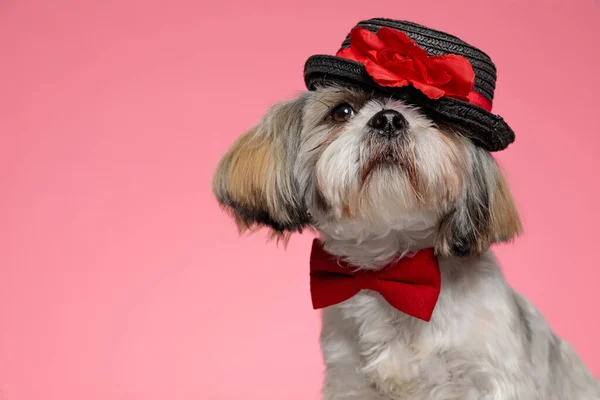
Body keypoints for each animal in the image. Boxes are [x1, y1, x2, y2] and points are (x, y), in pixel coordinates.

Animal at [212, 18, 600, 400]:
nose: (388, 118)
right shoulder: (349, 382)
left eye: (429, 113)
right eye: (341, 111)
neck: (394, 272)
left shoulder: (490, 379)